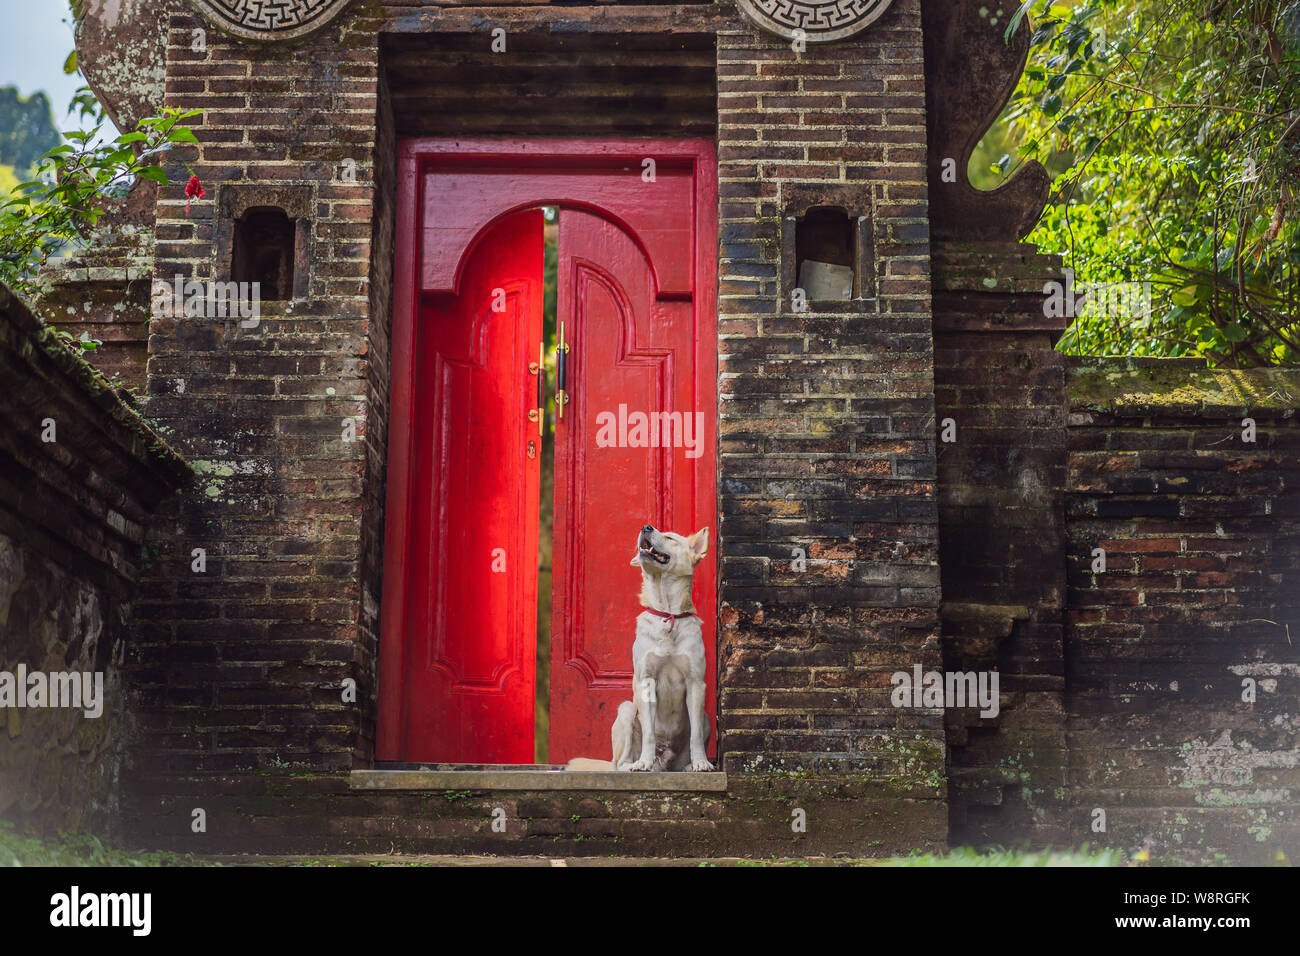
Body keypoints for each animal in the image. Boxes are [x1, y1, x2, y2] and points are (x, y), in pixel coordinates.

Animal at [566, 522, 717, 770]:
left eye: (670, 537)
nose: (646, 527)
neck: (667, 613)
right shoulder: (646, 681)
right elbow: (649, 733)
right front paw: (644, 762)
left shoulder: (696, 683)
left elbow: (695, 735)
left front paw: (701, 763)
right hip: (626, 709)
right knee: (620, 763)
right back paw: (637, 765)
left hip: (705, 718)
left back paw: (687, 765)